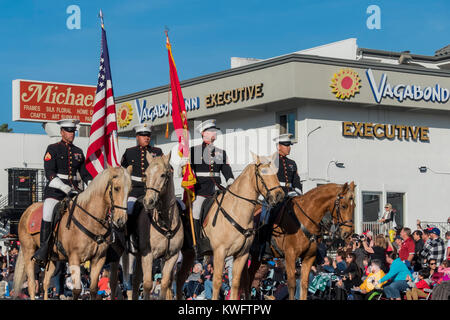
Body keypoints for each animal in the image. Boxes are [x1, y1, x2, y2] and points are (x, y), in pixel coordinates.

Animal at [12, 168, 131, 300]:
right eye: (116, 188)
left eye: (130, 190)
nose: (121, 220)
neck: (90, 220)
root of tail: (28, 210)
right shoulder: (74, 258)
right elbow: (77, 290)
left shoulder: (98, 259)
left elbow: (93, 289)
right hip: (29, 252)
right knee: (32, 284)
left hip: (53, 258)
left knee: (46, 283)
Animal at [177, 152, 284, 300]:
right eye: (263, 172)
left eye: (276, 172)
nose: (279, 195)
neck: (237, 211)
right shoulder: (219, 252)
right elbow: (216, 282)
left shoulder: (242, 254)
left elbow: (236, 282)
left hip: (189, 254)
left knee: (179, 278)